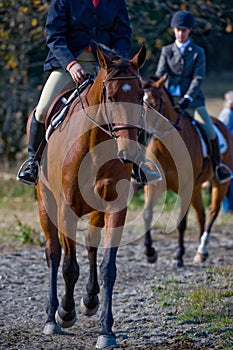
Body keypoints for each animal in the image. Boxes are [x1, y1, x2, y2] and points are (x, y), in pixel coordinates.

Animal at [32, 45, 146, 348]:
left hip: (95, 210)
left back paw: (90, 299)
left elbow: (108, 267)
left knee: (91, 246)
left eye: (140, 96)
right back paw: (53, 315)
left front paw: (106, 330)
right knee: (54, 253)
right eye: (111, 96)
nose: (130, 151)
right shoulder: (65, 209)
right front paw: (65, 313)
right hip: (46, 206)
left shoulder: (115, 208)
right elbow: (69, 266)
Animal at [142, 75, 233, 266]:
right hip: (196, 188)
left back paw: (202, 248)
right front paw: (150, 252)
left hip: (220, 183)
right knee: (202, 214)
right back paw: (200, 253)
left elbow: (181, 222)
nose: (143, 132)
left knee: (213, 211)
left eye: (156, 103)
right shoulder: (153, 186)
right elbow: (147, 214)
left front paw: (178, 255)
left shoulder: (185, 188)